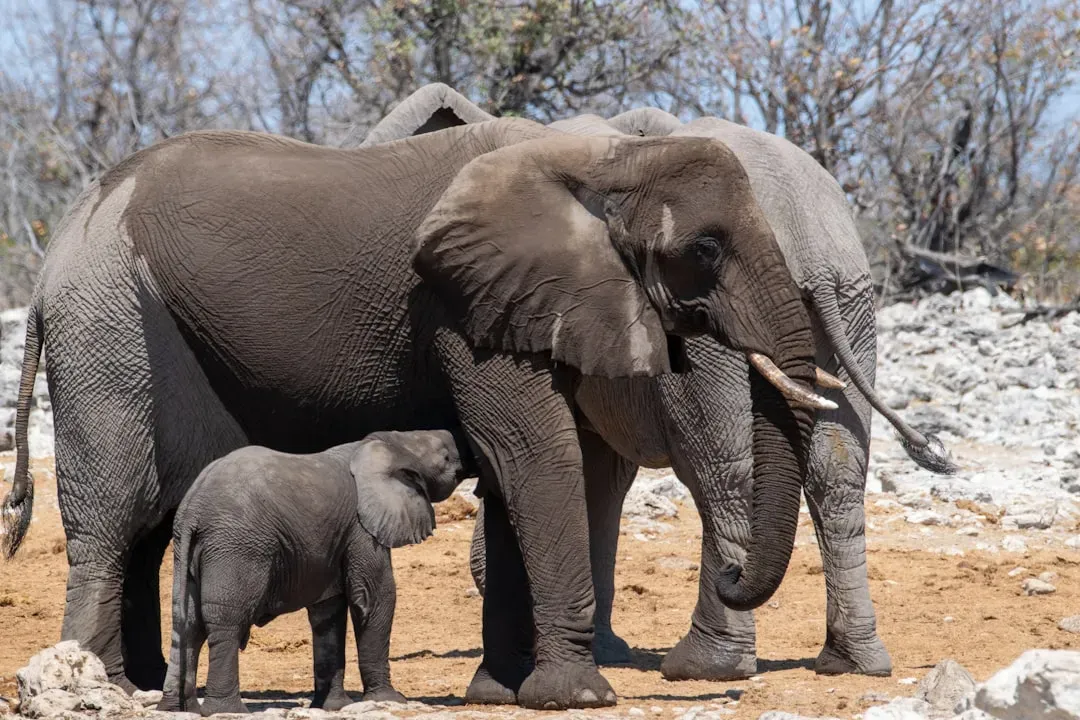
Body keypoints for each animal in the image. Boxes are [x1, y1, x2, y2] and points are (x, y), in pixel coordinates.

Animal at [158, 430, 463, 716]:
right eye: (446, 457)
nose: (463, 466)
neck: (389, 442)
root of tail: (192, 509)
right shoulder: (361, 527)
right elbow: (375, 598)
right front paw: (390, 699)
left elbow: (328, 613)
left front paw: (333, 706)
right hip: (237, 546)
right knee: (226, 620)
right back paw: (226, 710)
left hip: (190, 550)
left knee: (187, 624)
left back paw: (177, 710)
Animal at [355, 84, 955, 680]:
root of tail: (812, 244)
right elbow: (598, 472)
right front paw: (604, 651)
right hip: (851, 303)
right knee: (839, 472)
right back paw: (852, 663)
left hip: (716, 320)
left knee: (722, 470)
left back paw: (705, 665)